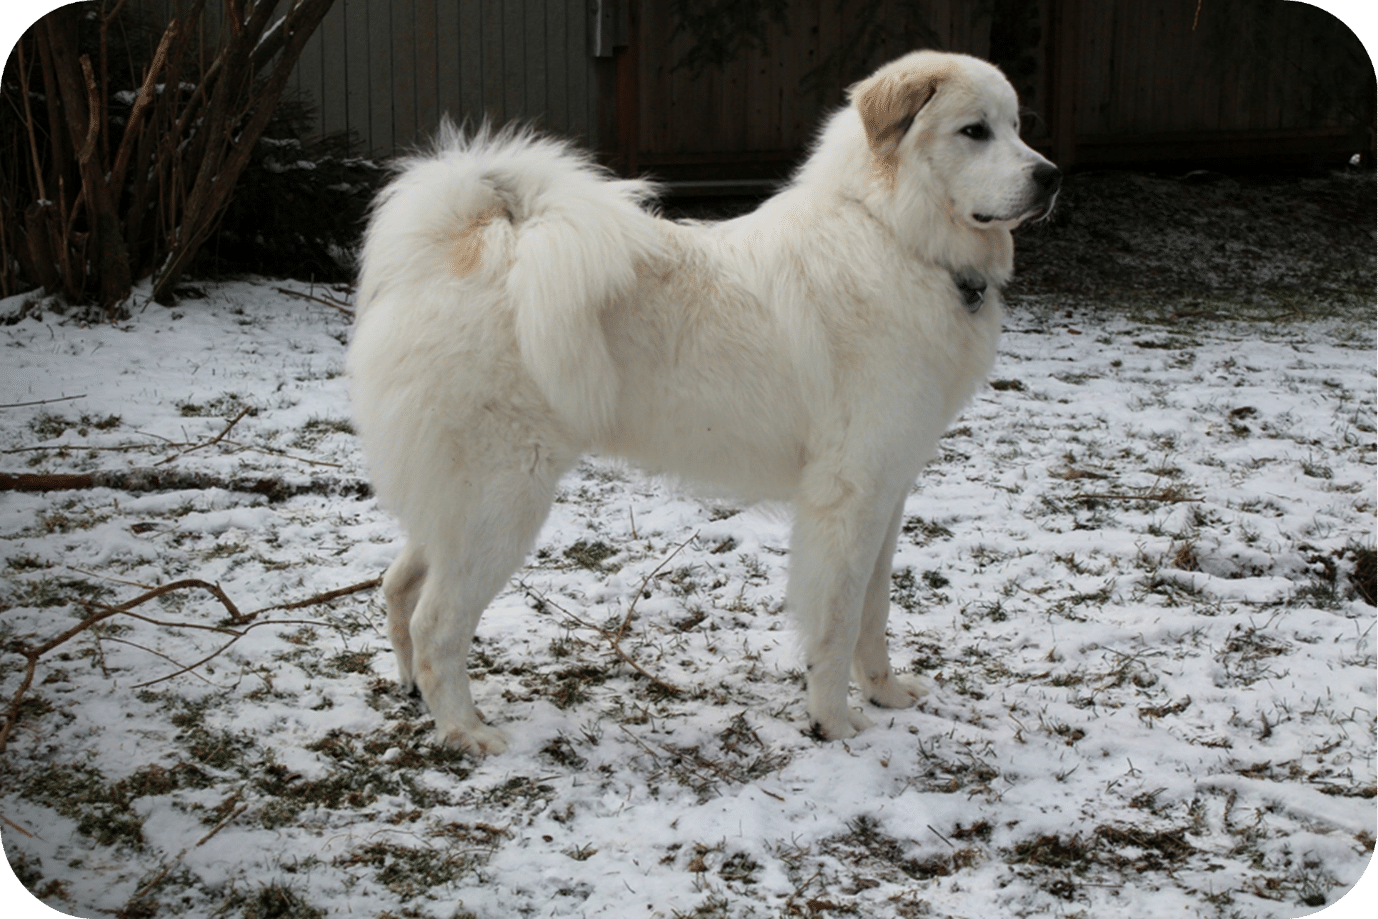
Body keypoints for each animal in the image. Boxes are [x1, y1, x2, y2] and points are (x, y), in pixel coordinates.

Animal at [350, 52, 1058, 755]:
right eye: (974, 131)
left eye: (1018, 127)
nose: (1050, 177)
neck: (893, 232)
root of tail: (464, 242)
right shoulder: (850, 497)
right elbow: (836, 621)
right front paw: (833, 723)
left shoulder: (888, 491)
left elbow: (873, 612)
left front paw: (885, 695)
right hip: (501, 502)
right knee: (439, 622)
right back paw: (466, 732)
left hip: (457, 504)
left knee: (399, 586)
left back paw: (415, 694)